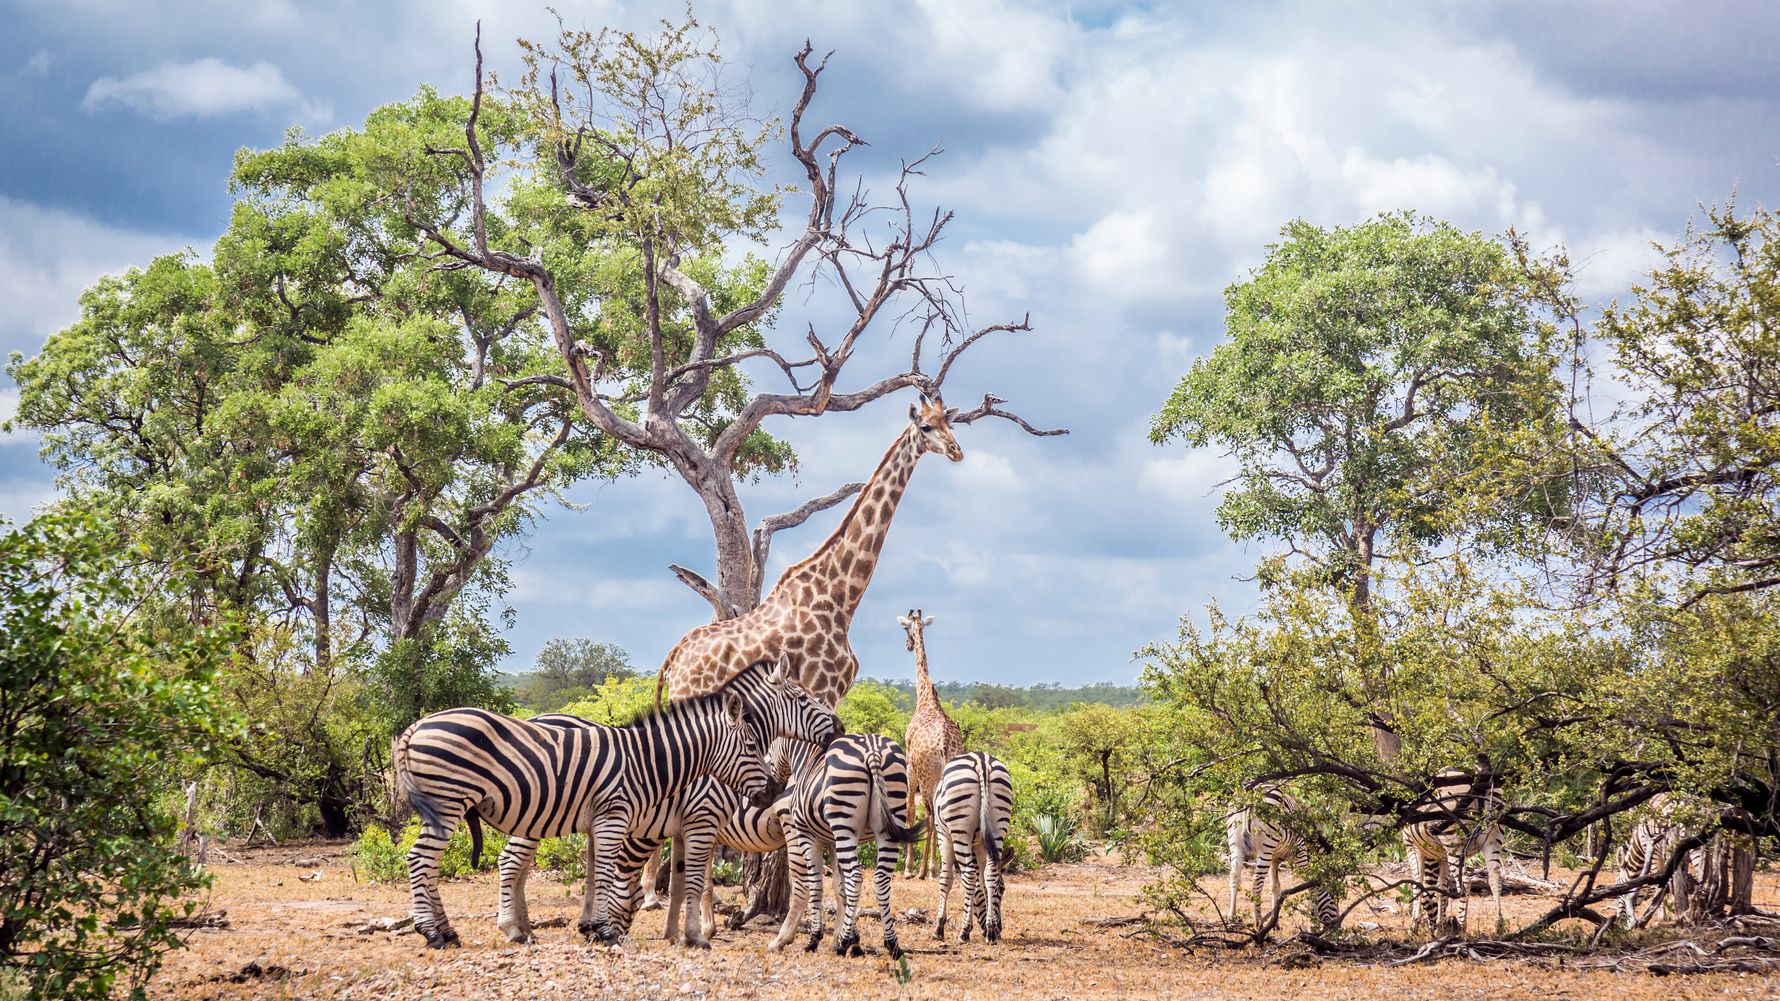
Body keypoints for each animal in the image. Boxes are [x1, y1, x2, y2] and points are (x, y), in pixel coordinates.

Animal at [654, 393, 964, 710]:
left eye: (949, 423)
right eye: (926, 427)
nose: (956, 451)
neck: (841, 599)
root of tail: (673, 661)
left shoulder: (834, 693)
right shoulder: (823, 688)